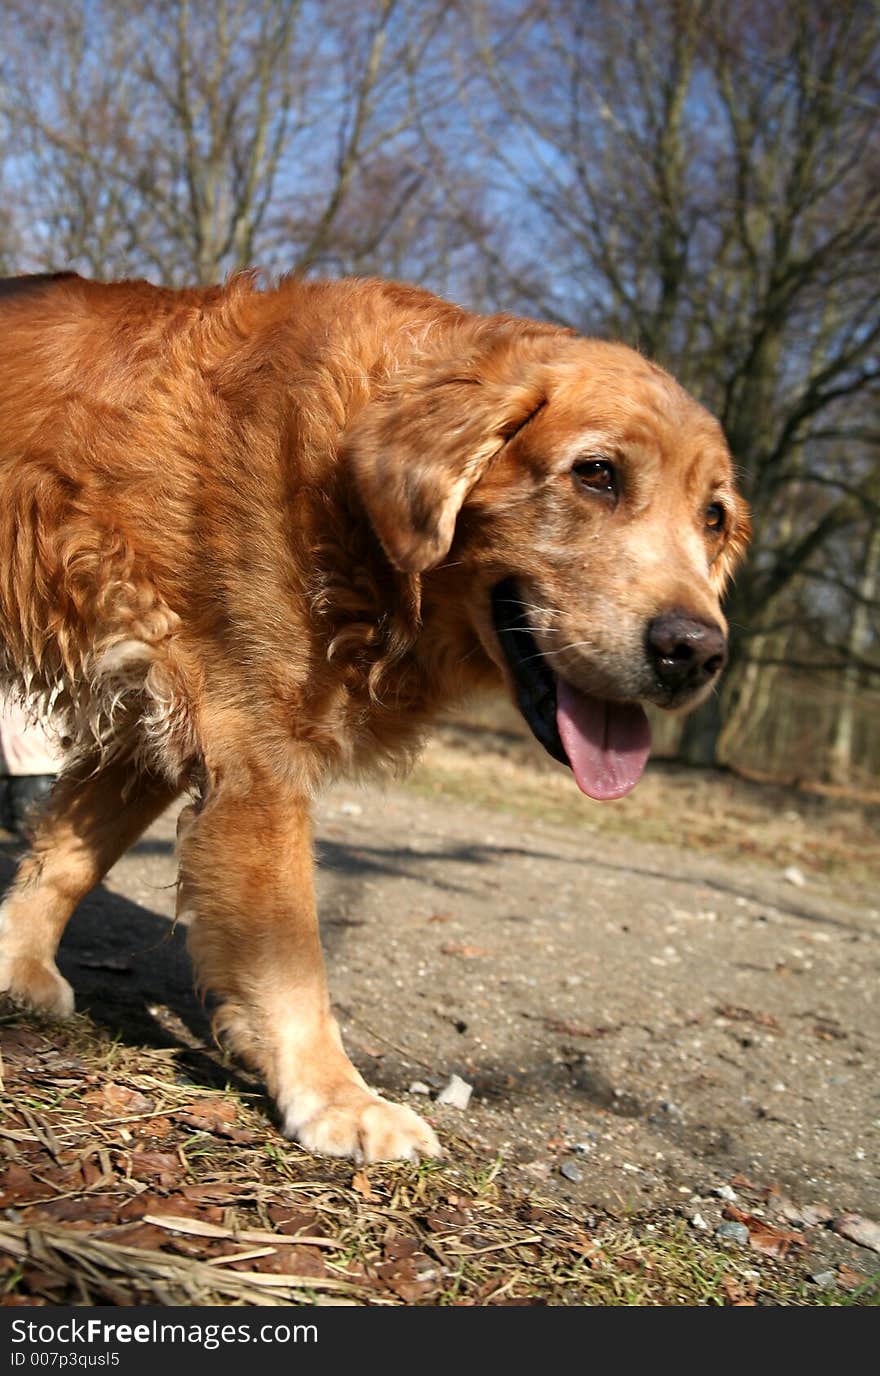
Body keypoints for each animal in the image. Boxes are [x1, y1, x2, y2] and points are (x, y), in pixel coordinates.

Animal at [0, 268, 748, 1161]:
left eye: (714, 517)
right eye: (596, 473)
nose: (696, 652)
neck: (349, 498)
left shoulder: (157, 719)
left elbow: (72, 856)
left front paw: (16, 965)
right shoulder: (256, 757)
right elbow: (292, 959)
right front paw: (336, 1096)